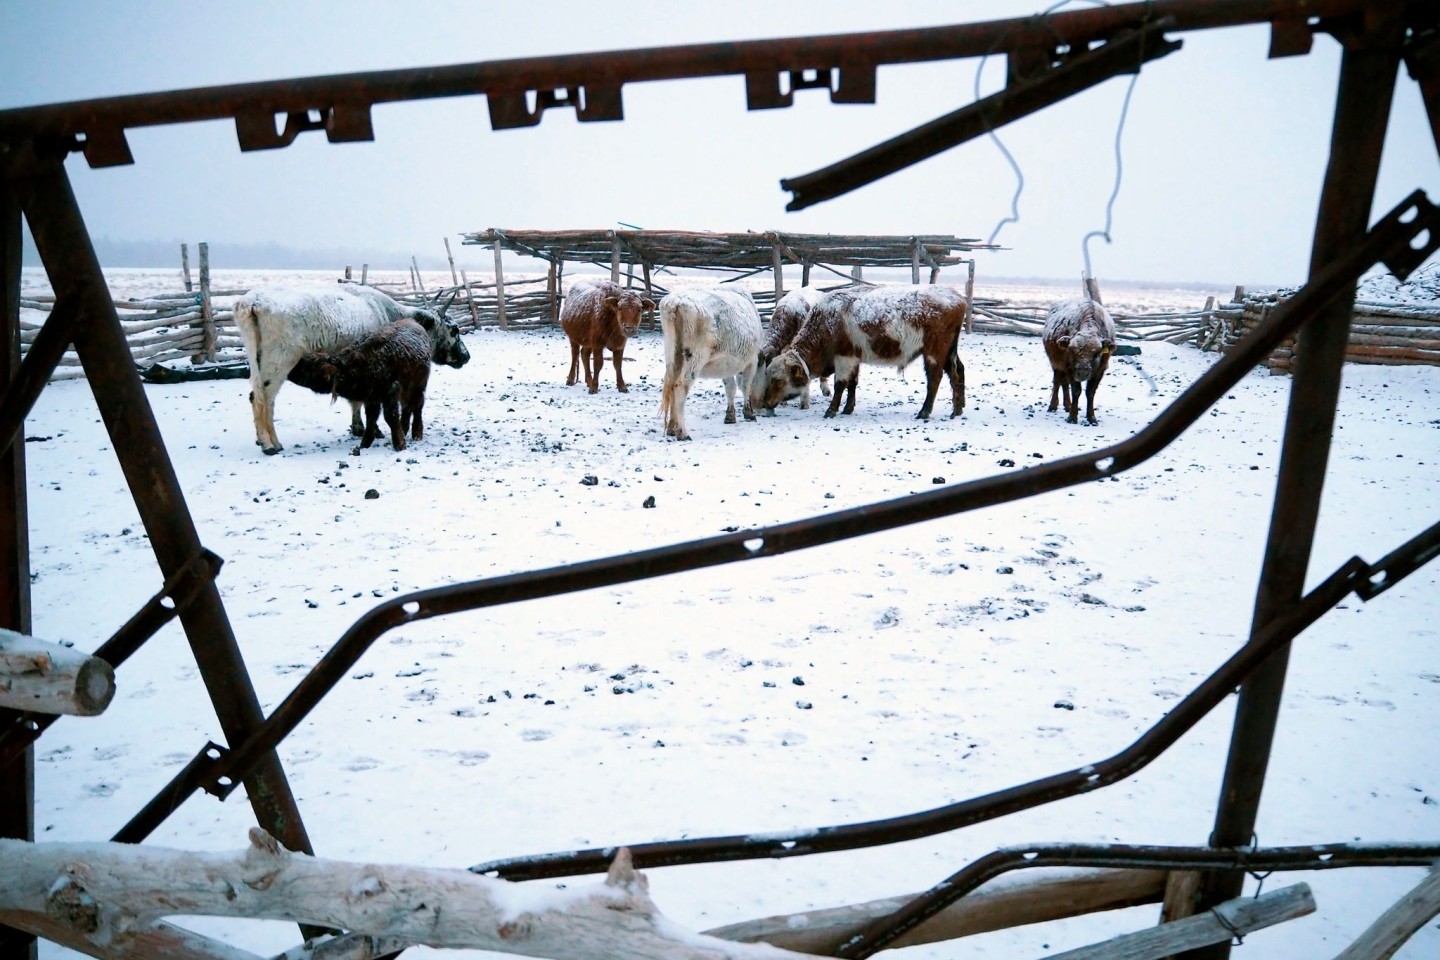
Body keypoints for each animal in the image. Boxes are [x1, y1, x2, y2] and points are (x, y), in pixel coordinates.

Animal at [286, 315, 429, 451]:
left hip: (418, 387)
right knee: (407, 407)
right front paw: (364, 445)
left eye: (310, 366)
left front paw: (399, 444)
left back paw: (417, 433)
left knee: (417, 406)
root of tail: (415, 324)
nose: (290, 368)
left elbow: (390, 416)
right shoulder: (371, 398)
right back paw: (405, 428)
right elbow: (371, 419)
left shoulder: (390, 391)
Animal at [659, 287, 766, 440]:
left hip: (672, 357)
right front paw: (749, 412)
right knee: (680, 388)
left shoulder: (727, 364)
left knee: (671, 386)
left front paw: (730, 415)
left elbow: (731, 387)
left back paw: (672, 428)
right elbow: (745, 386)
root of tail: (675, 303)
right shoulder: (751, 361)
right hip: (693, 359)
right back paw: (682, 432)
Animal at [823, 284, 967, 420]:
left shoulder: (844, 356)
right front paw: (847, 408)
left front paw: (830, 410)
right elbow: (852, 382)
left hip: (934, 352)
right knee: (958, 370)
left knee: (935, 377)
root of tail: (959, 299)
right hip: (948, 351)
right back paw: (958, 409)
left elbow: (840, 383)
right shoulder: (853, 358)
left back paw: (925, 412)